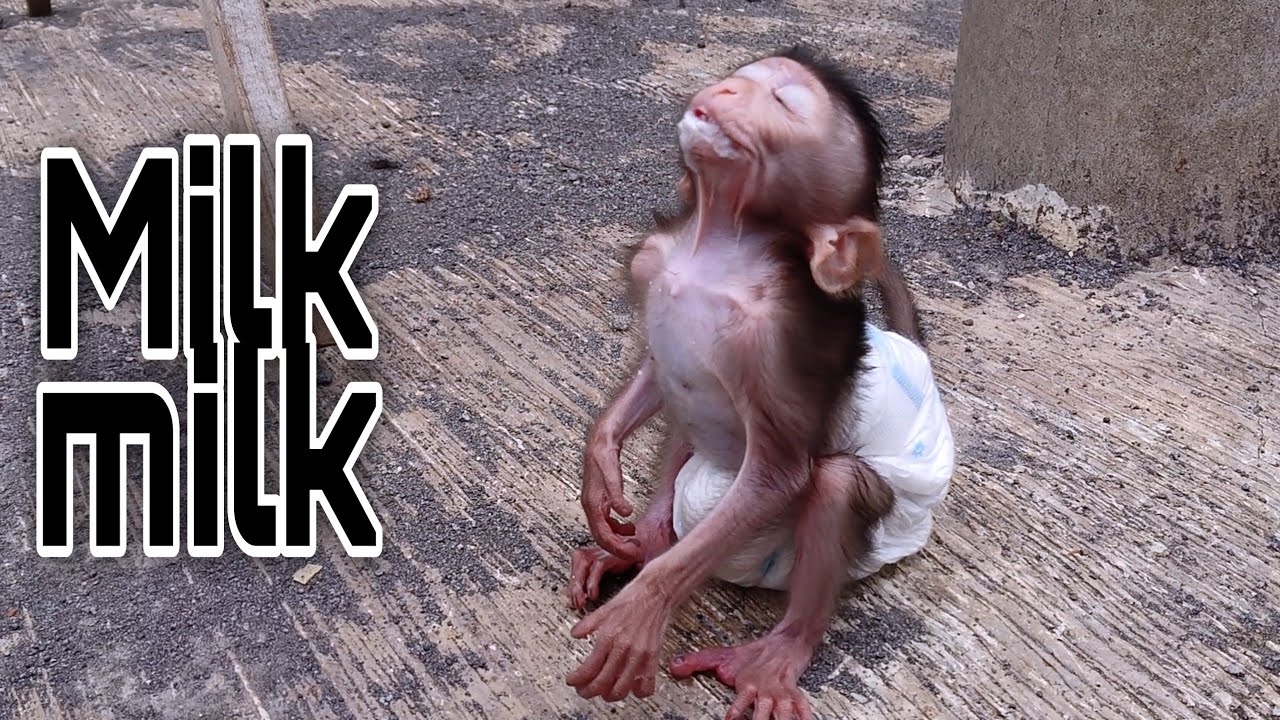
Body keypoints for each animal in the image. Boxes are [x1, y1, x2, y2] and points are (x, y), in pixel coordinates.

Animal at [566, 45, 954, 720]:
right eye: (744, 80)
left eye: (784, 102)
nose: (723, 91)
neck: (714, 252)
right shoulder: (656, 261)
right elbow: (657, 372)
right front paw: (602, 465)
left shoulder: (777, 339)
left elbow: (781, 473)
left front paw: (644, 606)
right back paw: (642, 546)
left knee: (835, 482)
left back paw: (778, 649)